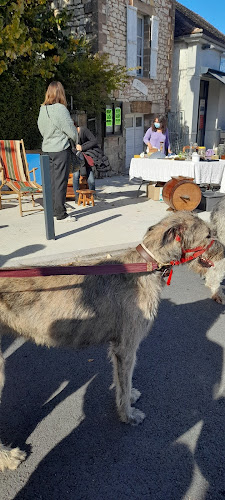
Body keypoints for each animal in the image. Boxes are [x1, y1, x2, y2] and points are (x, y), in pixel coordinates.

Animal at [0, 211, 214, 468]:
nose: (222, 250)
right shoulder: (128, 345)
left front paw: (129, 397)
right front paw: (128, 415)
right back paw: (7, 457)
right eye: (209, 235)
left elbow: (122, 379)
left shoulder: (117, 345)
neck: (147, 265)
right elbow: (125, 379)